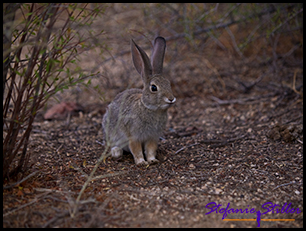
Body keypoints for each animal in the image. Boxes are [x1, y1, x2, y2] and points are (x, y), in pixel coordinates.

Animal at [102, 36, 176, 166]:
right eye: (154, 88)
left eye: (168, 83)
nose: (171, 99)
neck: (150, 108)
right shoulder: (133, 136)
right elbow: (136, 150)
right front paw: (141, 162)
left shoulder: (152, 136)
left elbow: (151, 149)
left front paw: (152, 160)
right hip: (111, 132)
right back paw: (117, 152)